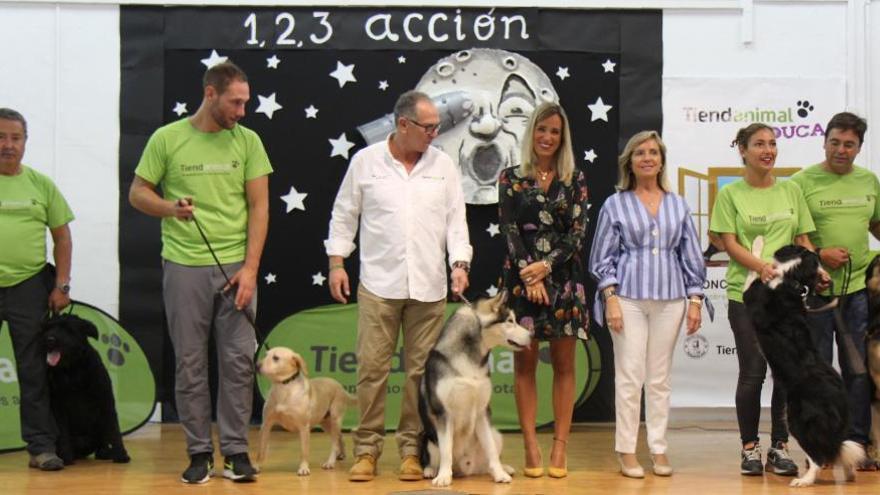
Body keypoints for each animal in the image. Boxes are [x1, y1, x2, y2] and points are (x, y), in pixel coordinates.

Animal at [43, 314, 130, 464]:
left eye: (68, 329)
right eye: (49, 327)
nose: (49, 339)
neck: (73, 370)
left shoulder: (106, 401)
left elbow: (114, 429)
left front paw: (121, 454)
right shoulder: (59, 408)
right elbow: (63, 433)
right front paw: (66, 457)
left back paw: (105, 452)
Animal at [418, 290, 532, 488]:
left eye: (515, 319)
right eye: (510, 321)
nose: (532, 335)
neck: (469, 359)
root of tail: (464, 469)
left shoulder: (482, 411)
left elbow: (491, 450)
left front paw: (500, 474)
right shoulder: (443, 413)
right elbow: (446, 450)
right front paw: (443, 476)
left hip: (496, 434)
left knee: (489, 456)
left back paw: (502, 468)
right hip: (427, 437)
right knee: (432, 458)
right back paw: (431, 471)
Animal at [744, 246, 868, 486]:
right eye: (817, 261)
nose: (826, 277)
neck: (791, 278)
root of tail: (839, 397)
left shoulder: (752, 294)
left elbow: (752, 274)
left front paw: (759, 248)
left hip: (798, 419)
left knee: (819, 455)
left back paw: (804, 481)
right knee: (839, 449)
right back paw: (849, 472)